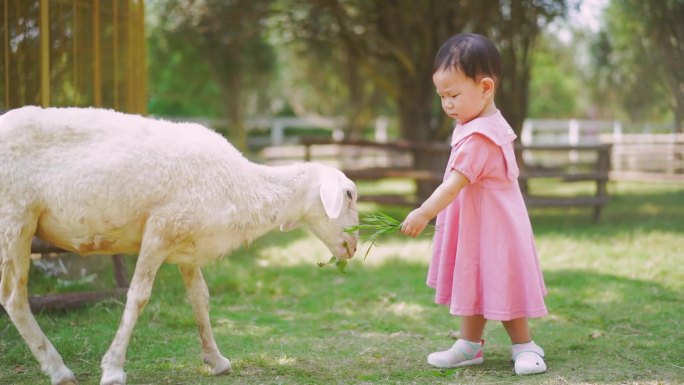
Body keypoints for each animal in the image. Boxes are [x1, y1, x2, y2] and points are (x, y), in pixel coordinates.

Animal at [0, 105, 358, 384]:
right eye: (349, 194)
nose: (354, 247)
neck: (241, 187)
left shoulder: (189, 245)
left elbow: (200, 298)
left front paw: (217, 361)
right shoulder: (160, 229)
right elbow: (138, 296)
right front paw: (113, 369)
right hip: (15, 217)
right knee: (14, 298)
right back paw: (59, 370)